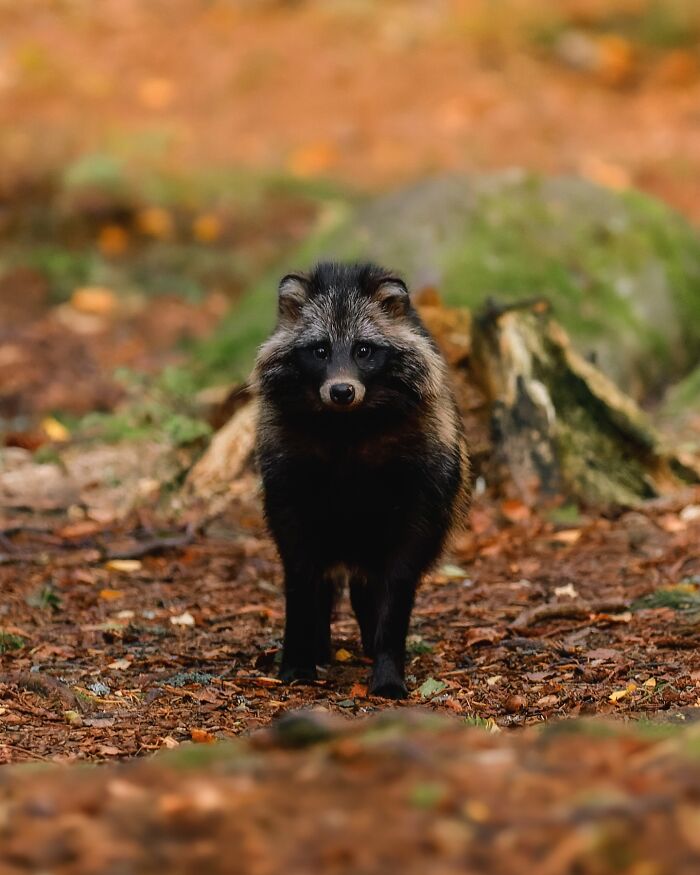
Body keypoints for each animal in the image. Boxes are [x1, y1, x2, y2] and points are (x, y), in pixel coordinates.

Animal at [252, 262, 470, 698]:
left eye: (364, 351)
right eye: (320, 351)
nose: (341, 391)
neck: (348, 425)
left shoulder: (422, 484)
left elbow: (399, 579)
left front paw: (388, 665)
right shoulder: (287, 478)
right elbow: (299, 571)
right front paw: (297, 657)